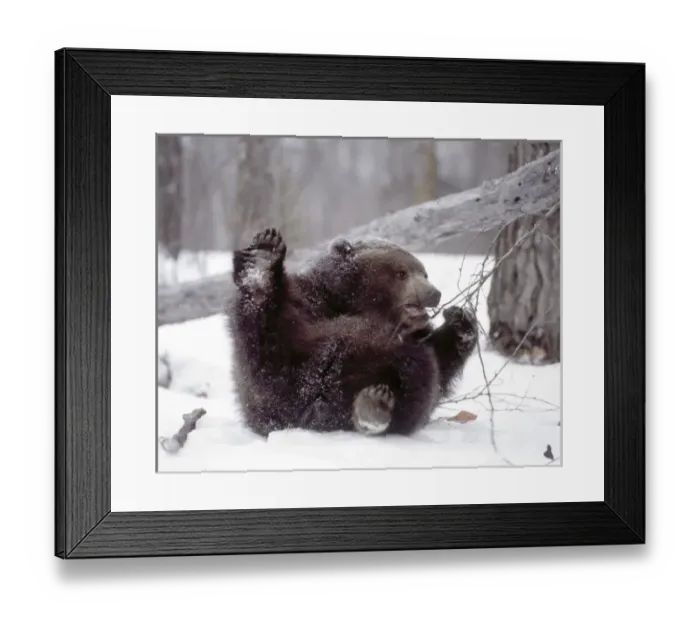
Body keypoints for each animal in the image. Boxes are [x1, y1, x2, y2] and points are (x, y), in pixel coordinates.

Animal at [226, 227, 478, 438]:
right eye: (401, 273)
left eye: (424, 273)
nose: (434, 293)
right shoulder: (308, 301)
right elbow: (265, 344)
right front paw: (262, 259)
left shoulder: (417, 335)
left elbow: (440, 365)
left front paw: (461, 323)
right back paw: (262, 263)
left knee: (417, 378)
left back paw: (373, 406)